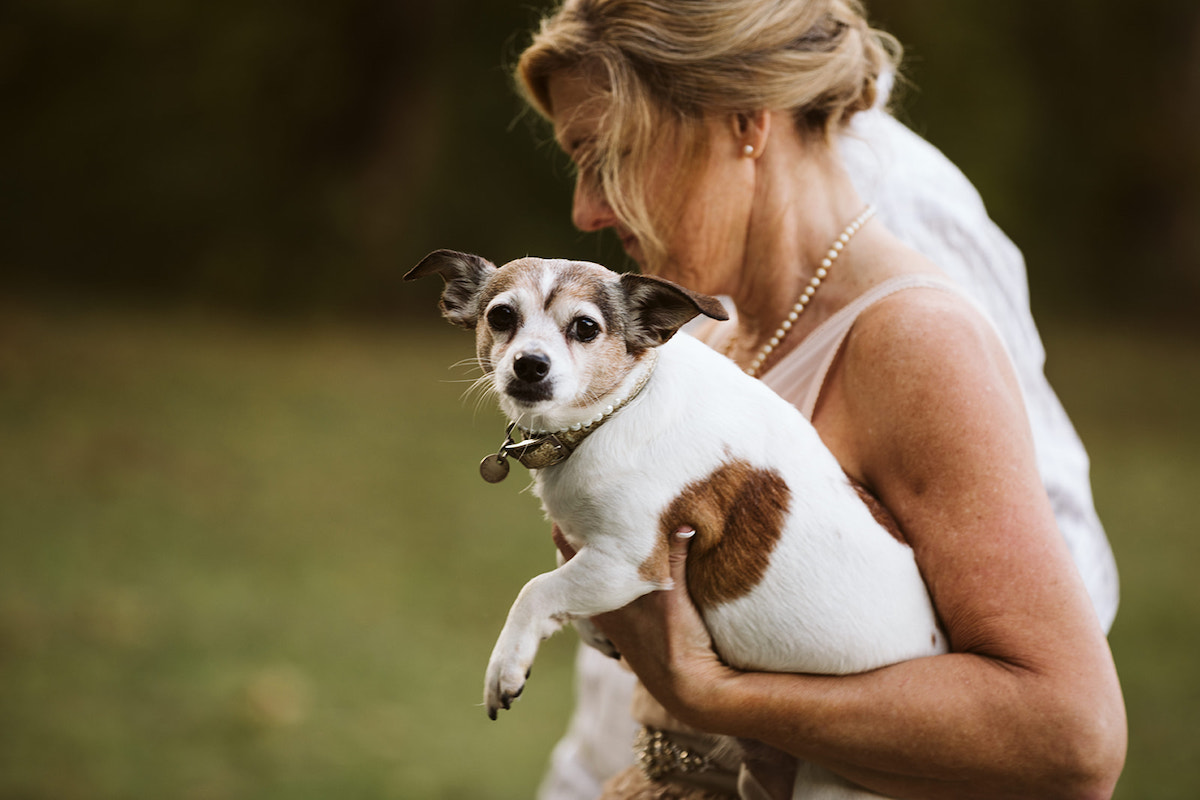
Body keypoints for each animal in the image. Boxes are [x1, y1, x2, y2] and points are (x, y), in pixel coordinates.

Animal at [408, 251, 950, 800]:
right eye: (501, 316)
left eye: (585, 327)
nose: (530, 364)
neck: (613, 412)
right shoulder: (592, 555)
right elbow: (563, 573)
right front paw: (593, 629)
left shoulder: (630, 563)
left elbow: (537, 589)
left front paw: (508, 662)